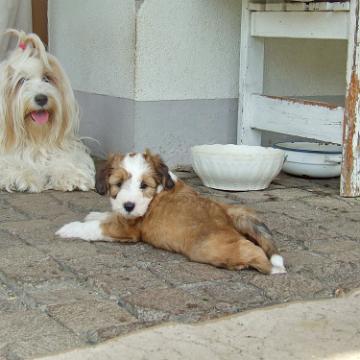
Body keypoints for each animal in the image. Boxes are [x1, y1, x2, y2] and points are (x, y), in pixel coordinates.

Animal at [0, 29, 95, 193]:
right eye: (21, 80)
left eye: (47, 78)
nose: (41, 98)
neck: (36, 137)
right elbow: (12, 164)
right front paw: (24, 177)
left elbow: (66, 160)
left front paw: (70, 175)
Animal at [56, 150, 286, 274]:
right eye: (118, 184)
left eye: (144, 185)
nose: (129, 205)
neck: (157, 191)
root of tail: (225, 212)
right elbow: (105, 215)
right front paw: (95, 213)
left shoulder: (127, 228)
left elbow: (94, 227)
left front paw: (69, 229)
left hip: (210, 248)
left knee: (252, 251)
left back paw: (272, 268)